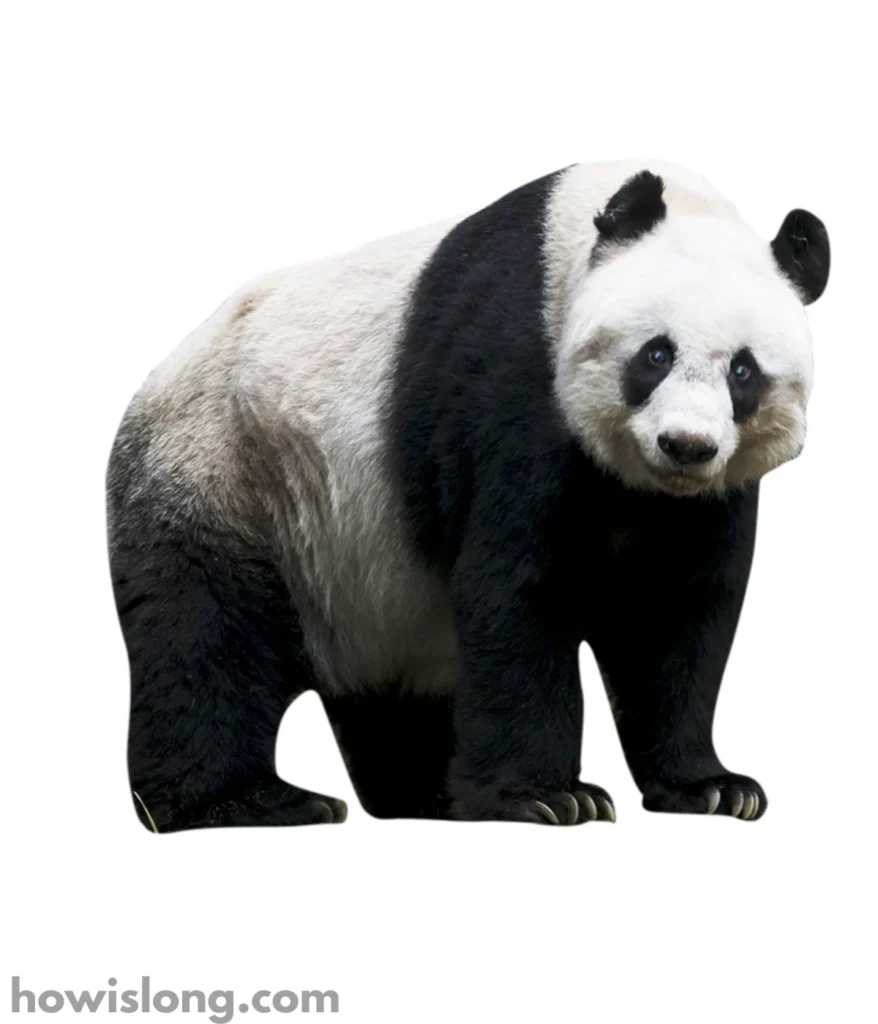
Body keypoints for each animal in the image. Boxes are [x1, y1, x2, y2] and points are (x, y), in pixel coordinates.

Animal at [108, 160, 829, 832]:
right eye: (655, 354)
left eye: (744, 371)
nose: (686, 445)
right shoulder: (512, 381)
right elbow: (517, 590)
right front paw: (549, 797)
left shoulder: (703, 499)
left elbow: (671, 613)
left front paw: (715, 789)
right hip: (230, 472)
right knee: (207, 638)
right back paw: (248, 801)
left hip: (367, 578)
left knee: (397, 691)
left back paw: (430, 794)